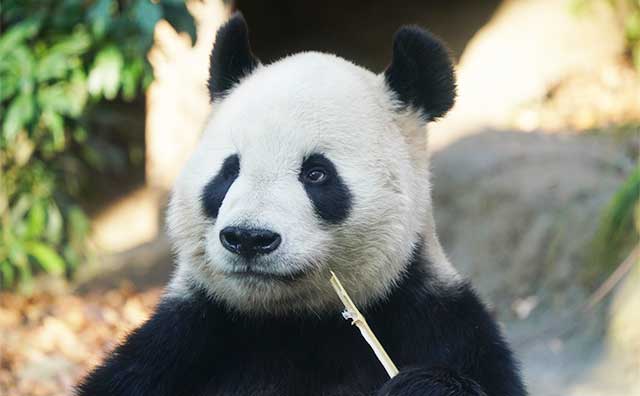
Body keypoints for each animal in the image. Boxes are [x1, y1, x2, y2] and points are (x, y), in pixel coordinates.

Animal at [77, 12, 524, 396]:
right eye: (229, 171)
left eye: (316, 174)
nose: (249, 238)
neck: (294, 323)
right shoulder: (183, 339)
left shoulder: (436, 319)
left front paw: (421, 387)